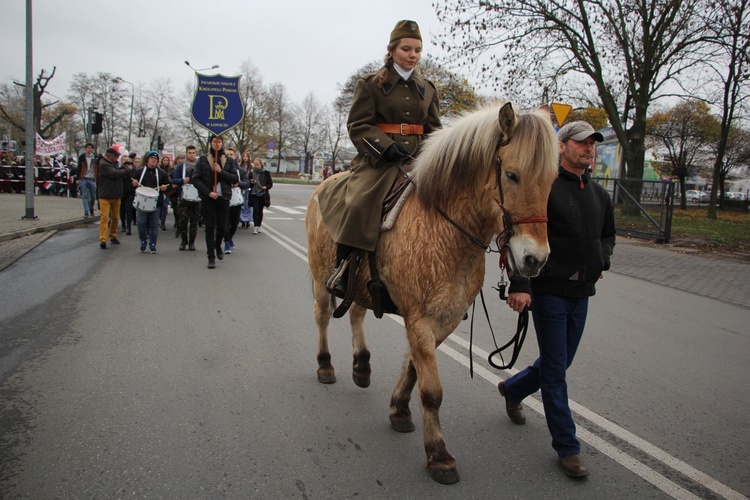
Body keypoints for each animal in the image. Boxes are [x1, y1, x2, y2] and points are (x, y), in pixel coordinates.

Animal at [306, 102, 560, 484]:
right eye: (512, 175)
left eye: (552, 180)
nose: (535, 259)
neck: (445, 228)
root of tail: (323, 183)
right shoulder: (420, 320)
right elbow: (432, 390)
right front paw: (439, 455)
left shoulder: (443, 321)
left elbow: (414, 372)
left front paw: (399, 410)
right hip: (320, 276)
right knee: (322, 317)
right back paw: (326, 365)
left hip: (360, 285)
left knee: (356, 313)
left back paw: (362, 365)